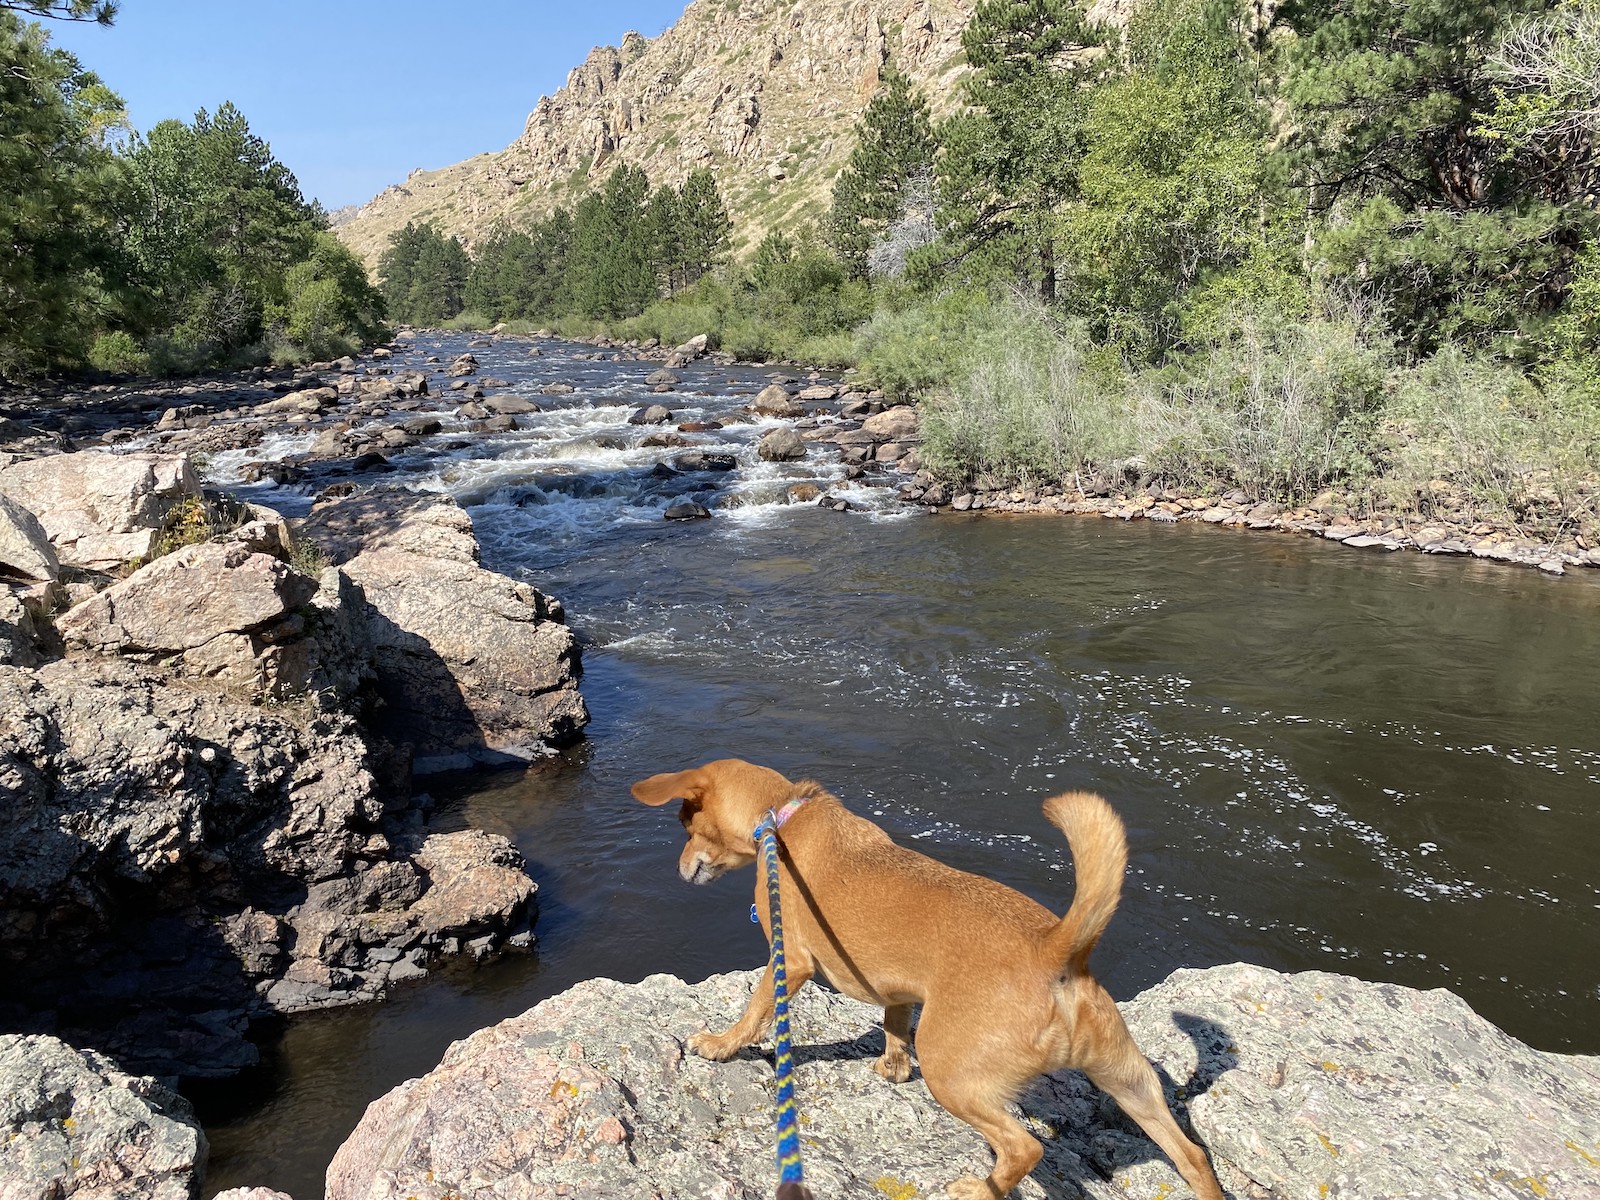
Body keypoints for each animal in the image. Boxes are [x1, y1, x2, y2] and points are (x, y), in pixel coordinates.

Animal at [633, 761, 1222, 1200]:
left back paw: (979, 1188)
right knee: (1192, 1154)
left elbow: (756, 1011)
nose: (679, 867)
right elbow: (895, 1022)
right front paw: (893, 1067)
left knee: (1024, 1149)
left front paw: (721, 1044)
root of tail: (1054, 947)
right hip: (1130, 1082)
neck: (781, 815)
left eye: (687, 826)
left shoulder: (789, 959)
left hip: (952, 1073)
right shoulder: (897, 990)